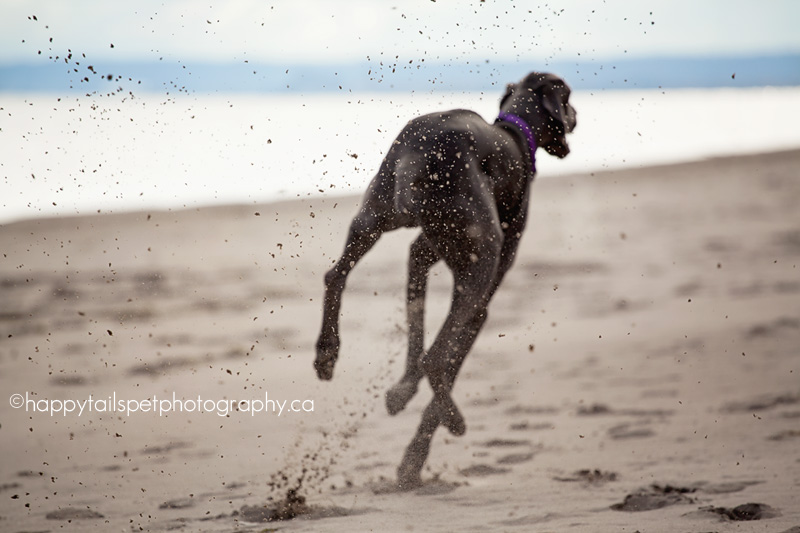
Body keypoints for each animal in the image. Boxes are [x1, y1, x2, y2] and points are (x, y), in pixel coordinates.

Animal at [312, 72, 576, 488]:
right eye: (568, 100)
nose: (577, 116)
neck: (516, 134)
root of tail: (423, 150)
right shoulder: (481, 299)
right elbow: (445, 364)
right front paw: (413, 459)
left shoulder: (421, 253)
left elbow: (415, 330)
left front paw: (402, 389)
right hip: (482, 261)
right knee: (436, 360)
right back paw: (454, 420)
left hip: (373, 215)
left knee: (335, 274)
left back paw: (327, 353)